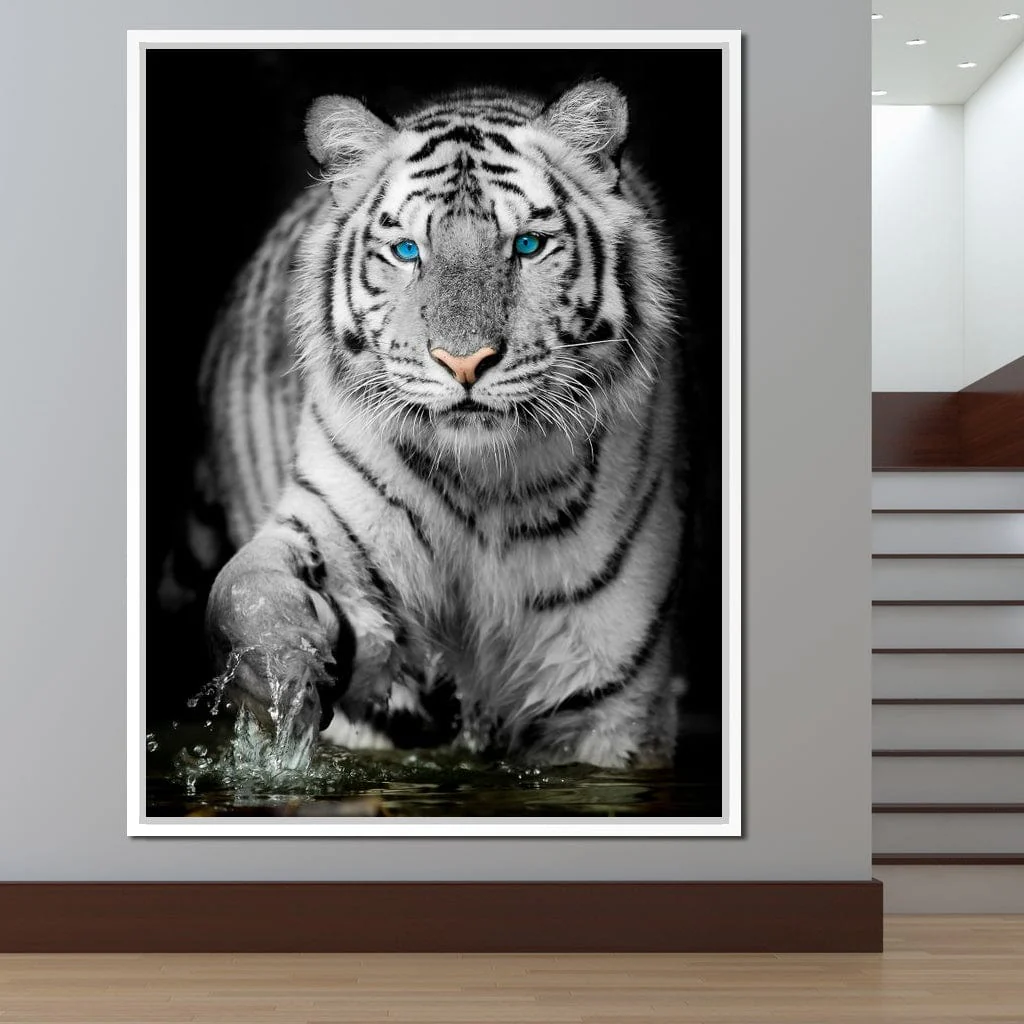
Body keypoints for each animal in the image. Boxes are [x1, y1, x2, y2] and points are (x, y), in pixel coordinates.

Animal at [184, 79, 688, 769]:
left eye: (527, 246)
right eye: (407, 252)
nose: (465, 361)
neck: (486, 487)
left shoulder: (609, 702)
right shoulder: (335, 529)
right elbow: (246, 590)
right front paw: (282, 674)